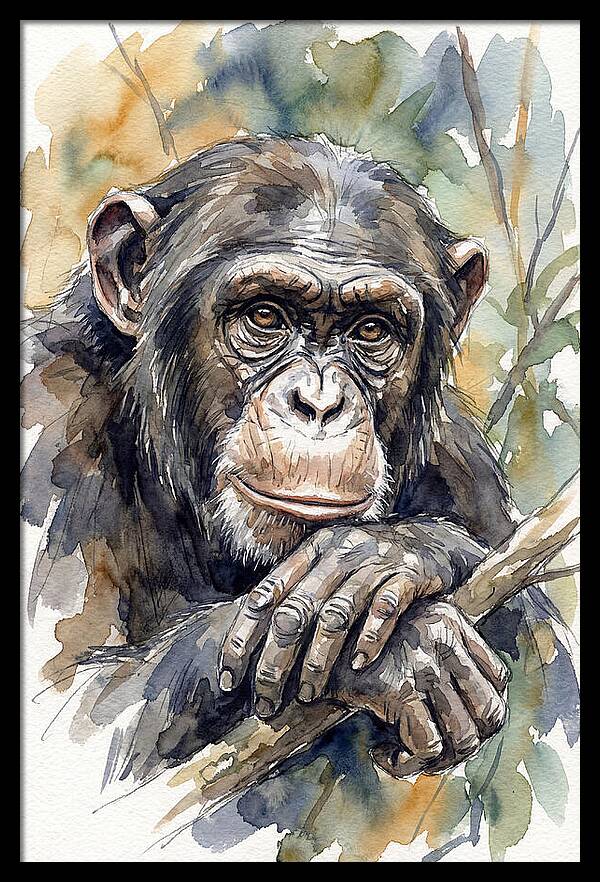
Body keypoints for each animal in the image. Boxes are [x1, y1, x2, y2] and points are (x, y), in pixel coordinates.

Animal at [22, 134, 518, 786]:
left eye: (372, 329)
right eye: (264, 316)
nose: (320, 402)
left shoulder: (461, 460)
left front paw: (386, 554)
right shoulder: (47, 422)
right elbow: (69, 712)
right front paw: (409, 647)